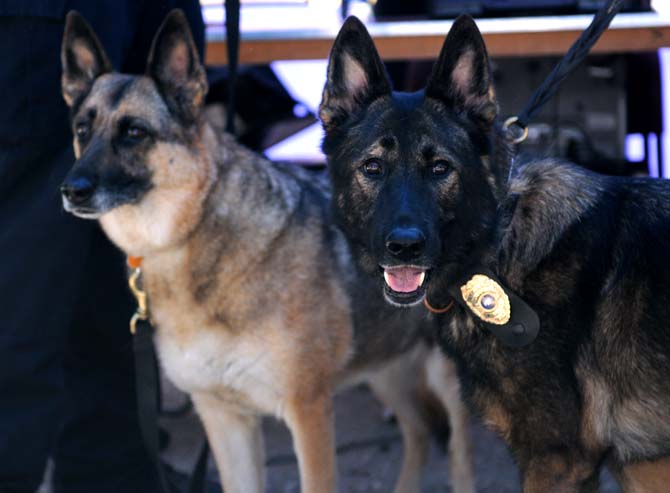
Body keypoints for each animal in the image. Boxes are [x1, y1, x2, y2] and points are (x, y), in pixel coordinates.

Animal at [60, 8, 476, 492]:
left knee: (459, 456)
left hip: (448, 381)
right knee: (420, 430)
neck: (191, 236)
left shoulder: (308, 412)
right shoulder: (224, 419)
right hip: (386, 365)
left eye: (134, 132)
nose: (71, 190)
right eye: (82, 131)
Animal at [320, 13, 670, 490]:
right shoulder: (639, 466)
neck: (495, 246)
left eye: (440, 168)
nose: (405, 245)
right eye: (372, 168)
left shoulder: (556, 462)